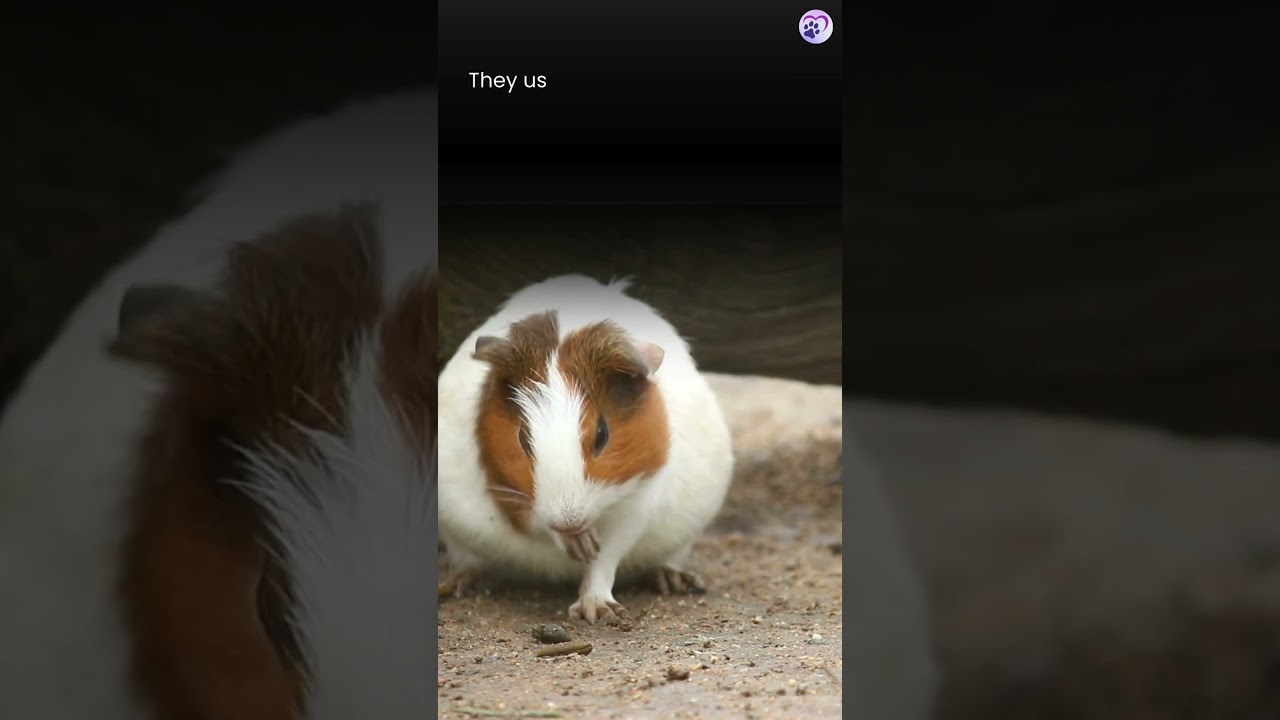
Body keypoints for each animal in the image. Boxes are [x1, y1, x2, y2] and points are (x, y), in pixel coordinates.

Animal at [437, 274, 735, 623]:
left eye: (602, 434)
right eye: (523, 436)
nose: (569, 519)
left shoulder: (638, 502)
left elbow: (605, 558)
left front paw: (596, 610)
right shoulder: (509, 495)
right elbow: (536, 522)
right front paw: (580, 545)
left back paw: (676, 580)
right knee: (471, 563)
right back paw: (457, 584)